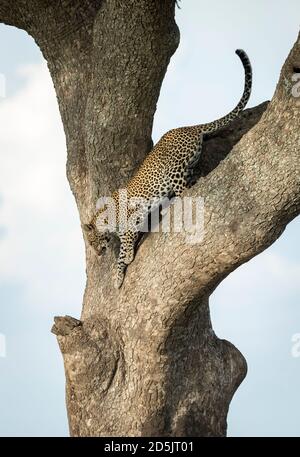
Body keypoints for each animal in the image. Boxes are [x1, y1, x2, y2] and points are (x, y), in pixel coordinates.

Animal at [83, 48, 252, 286]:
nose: (98, 253)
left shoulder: (131, 219)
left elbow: (124, 244)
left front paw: (125, 261)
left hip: (172, 170)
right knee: (196, 174)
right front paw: (118, 275)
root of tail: (189, 128)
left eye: (91, 241)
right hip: (185, 167)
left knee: (186, 190)